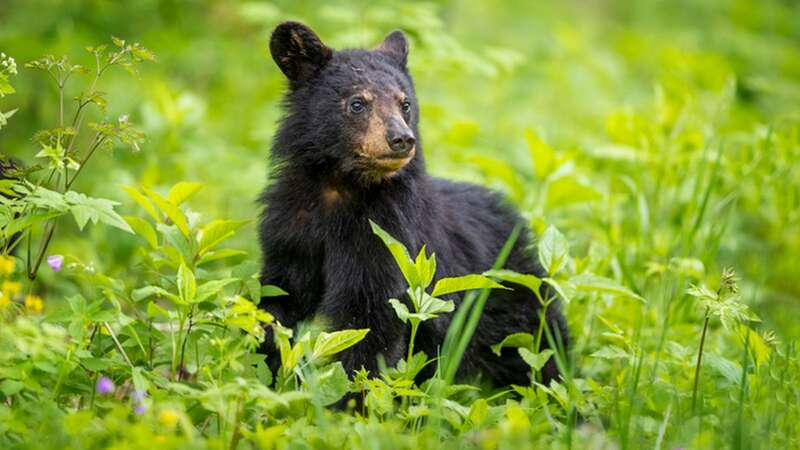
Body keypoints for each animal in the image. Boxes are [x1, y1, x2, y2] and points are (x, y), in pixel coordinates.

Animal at [258, 22, 568, 386]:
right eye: (357, 103)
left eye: (405, 103)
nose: (401, 139)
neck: (339, 190)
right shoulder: (291, 230)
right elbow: (279, 301)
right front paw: (270, 374)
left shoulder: (387, 236)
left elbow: (370, 320)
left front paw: (352, 395)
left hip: (515, 294)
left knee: (540, 348)